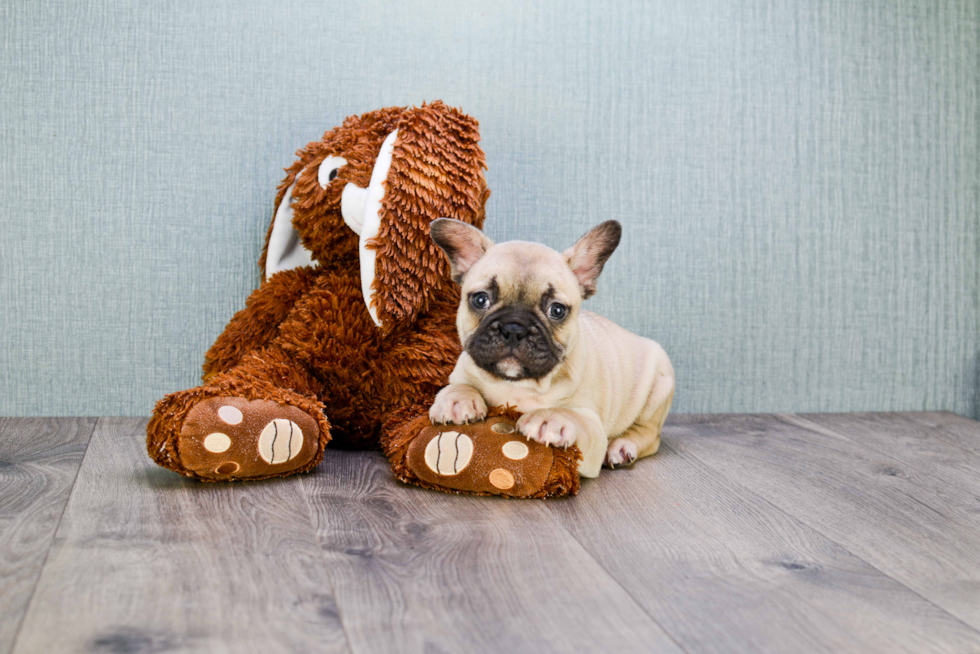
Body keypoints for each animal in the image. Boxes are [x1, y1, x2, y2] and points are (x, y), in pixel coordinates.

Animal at [428, 218, 672, 480]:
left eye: (557, 310)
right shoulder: (461, 372)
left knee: (649, 435)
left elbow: (574, 417)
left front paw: (551, 419)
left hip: (659, 387)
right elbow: (461, 385)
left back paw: (622, 447)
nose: (514, 328)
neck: (516, 385)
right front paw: (457, 399)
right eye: (480, 299)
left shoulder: (593, 431)